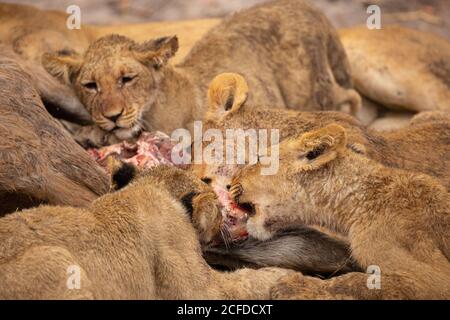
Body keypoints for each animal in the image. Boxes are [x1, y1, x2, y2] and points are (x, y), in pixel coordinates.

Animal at [0, 165, 298, 300]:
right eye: (217, 207)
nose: (225, 218)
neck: (151, 188)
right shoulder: (197, 288)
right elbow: (242, 282)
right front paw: (282, 276)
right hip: (56, 261)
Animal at [41, 0, 358, 142]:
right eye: (90, 85)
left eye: (127, 79)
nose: (113, 117)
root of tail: (307, 6)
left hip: (312, 91)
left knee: (349, 96)